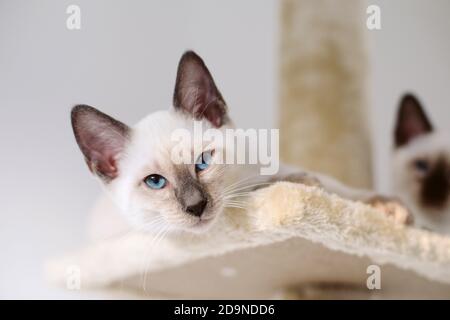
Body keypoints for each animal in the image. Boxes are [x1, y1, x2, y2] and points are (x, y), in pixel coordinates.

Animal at [71, 50, 412, 235]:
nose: (195, 207)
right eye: (155, 182)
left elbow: (341, 189)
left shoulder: (270, 166)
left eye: (203, 162)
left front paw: (389, 208)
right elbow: (266, 187)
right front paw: (300, 184)